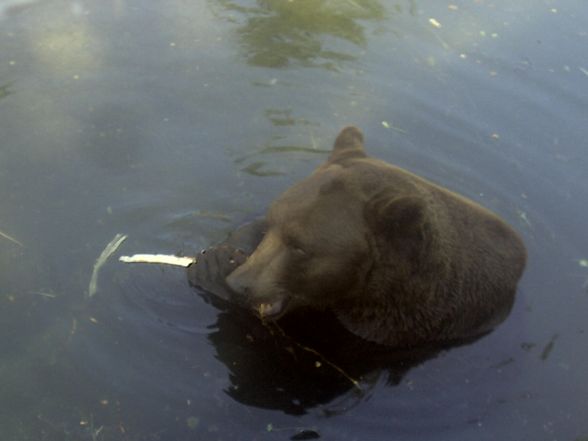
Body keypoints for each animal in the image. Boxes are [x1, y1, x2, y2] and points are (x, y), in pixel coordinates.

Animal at [189, 126, 528, 348]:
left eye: (301, 248)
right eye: (273, 225)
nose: (239, 284)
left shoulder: (383, 326)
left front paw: (213, 272)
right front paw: (219, 257)